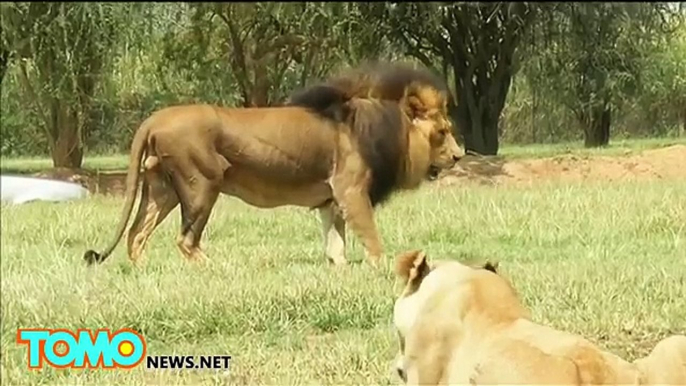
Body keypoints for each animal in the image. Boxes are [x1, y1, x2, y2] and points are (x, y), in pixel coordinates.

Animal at [83, 64, 464, 268]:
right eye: (443, 132)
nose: (460, 156)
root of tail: (154, 118)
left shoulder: (331, 199)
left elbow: (335, 241)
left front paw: (340, 269)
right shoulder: (351, 189)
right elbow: (371, 236)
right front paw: (381, 269)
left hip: (162, 189)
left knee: (136, 234)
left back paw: (145, 270)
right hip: (201, 185)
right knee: (185, 239)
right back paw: (217, 269)